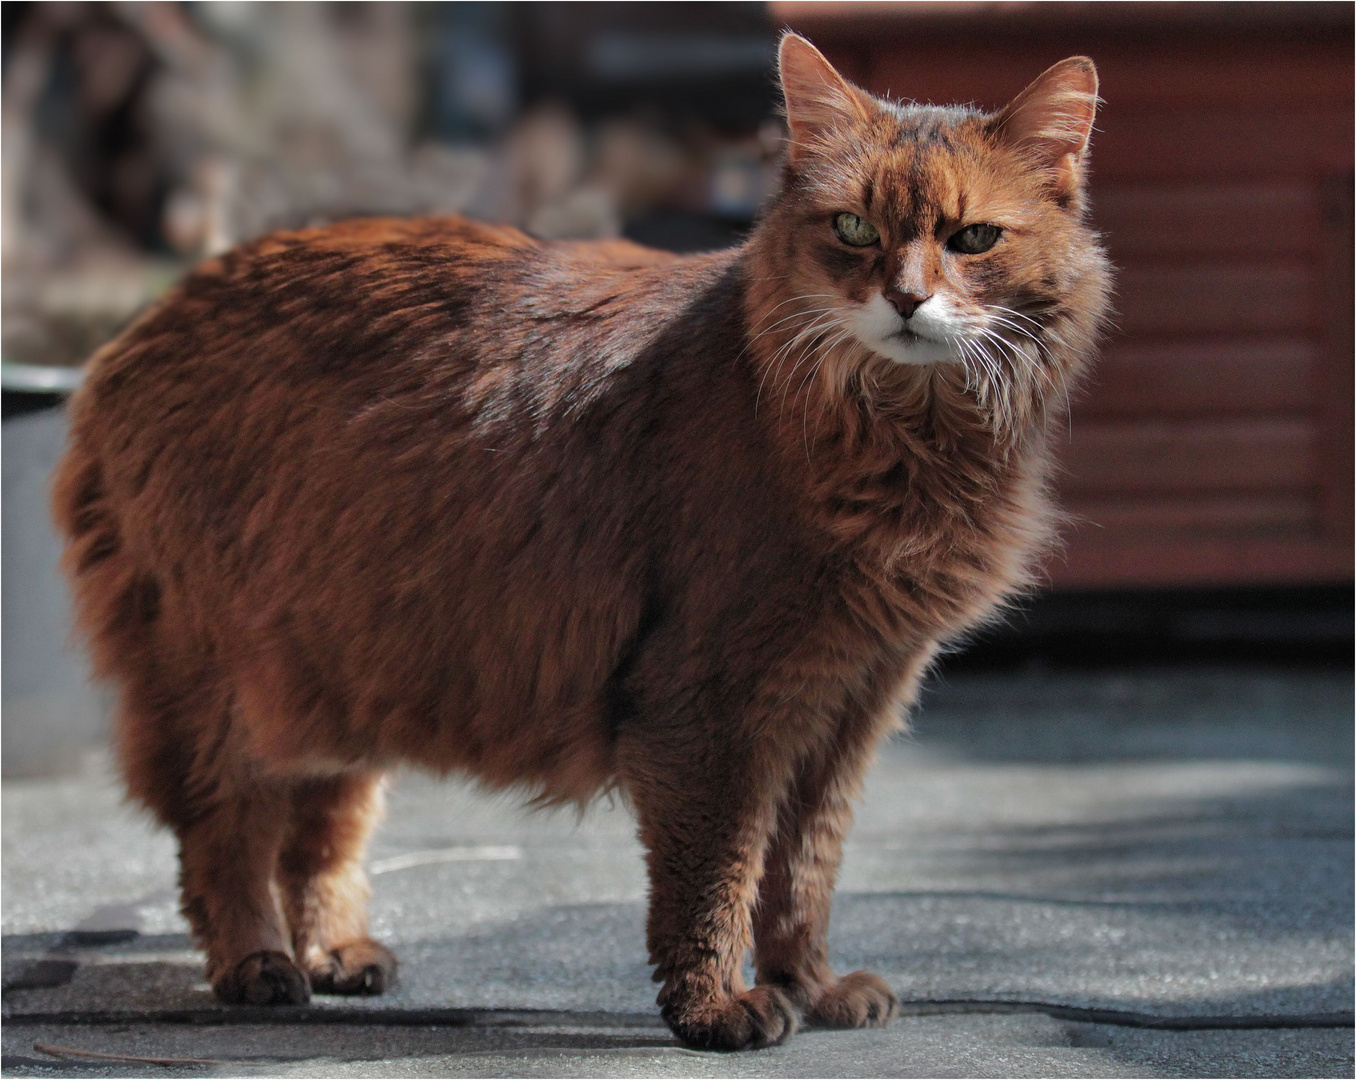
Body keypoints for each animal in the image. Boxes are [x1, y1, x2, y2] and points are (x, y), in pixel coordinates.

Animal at [55, 37, 1111, 1052]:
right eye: (854, 229)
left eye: (972, 239)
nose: (906, 300)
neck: (899, 436)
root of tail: (148, 319)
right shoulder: (714, 703)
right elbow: (717, 878)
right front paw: (716, 1010)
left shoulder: (854, 699)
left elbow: (803, 874)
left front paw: (810, 987)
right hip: (218, 675)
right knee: (224, 832)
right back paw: (257, 963)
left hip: (338, 662)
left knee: (321, 826)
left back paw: (334, 952)